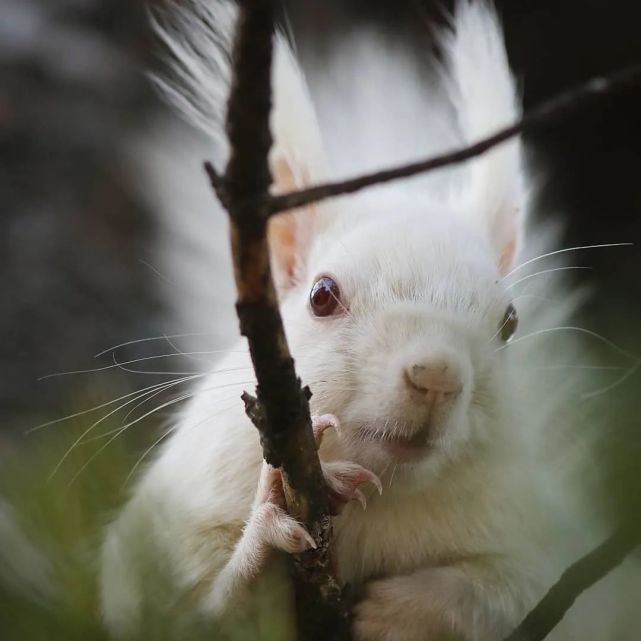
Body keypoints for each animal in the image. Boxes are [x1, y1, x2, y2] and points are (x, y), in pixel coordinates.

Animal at [99, 1, 636, 640]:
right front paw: (269, 532)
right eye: (321, 296)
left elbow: (500, 590)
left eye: (509, 322)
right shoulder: (168, 537)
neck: (380, 499)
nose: (436, 376)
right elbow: (186, 612)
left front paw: (403, 611)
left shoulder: (538, 545)